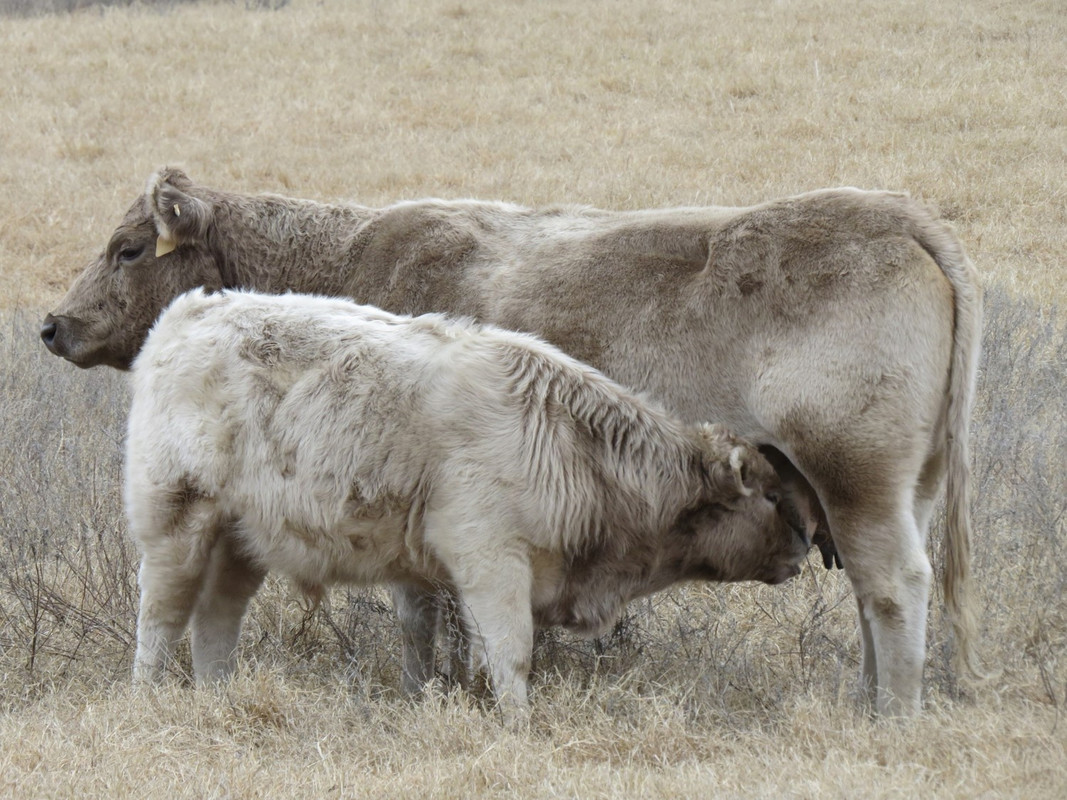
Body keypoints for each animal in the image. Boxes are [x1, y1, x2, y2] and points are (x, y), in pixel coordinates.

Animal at [126, 288, 809, 717]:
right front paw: (519, 725)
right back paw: (149, 697)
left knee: (215, 621)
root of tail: (186, 313)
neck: (571, 441)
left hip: (241, 543)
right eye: (774, 495)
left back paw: (218, 696)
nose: (806, 545)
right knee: (161, 621)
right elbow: (511, 653)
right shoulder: (491, 561)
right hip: (178, 527)